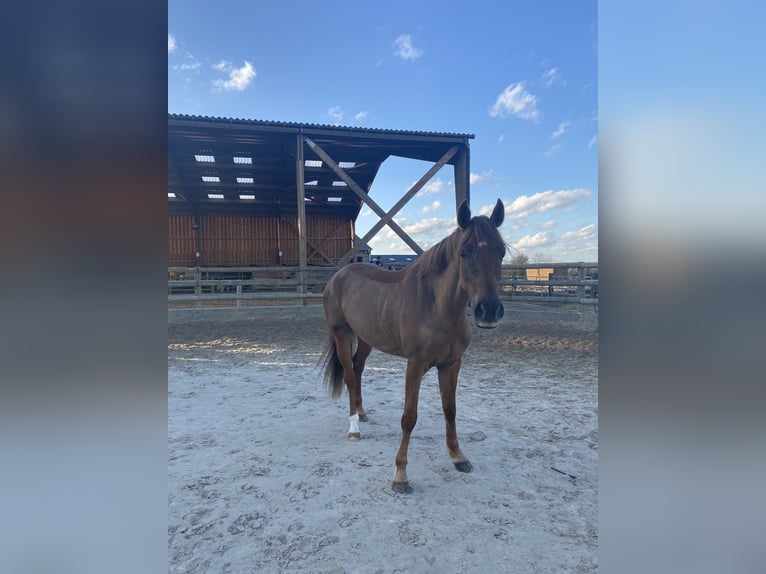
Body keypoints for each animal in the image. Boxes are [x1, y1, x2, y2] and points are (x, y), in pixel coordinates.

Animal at [320, 199, 508, 496]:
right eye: (464, 253)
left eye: (501, 252)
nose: (488, 311)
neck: (438, 307)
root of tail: (339, 275)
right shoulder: (415, 364)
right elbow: (409, 417)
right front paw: (400, 475)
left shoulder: (451, 364)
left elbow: (450, 409)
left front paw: (458, 457)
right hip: (341, 334)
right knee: (349, 375)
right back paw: (354, 428)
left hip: (366, 338)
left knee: (358, 370)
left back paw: (361, 413)